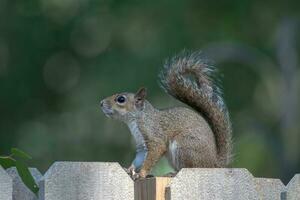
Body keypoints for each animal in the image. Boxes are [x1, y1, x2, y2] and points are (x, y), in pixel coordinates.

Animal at [100, 50, 232, 179]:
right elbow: (139, 158)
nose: (101, 103)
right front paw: (129, 169)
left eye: (121, 99)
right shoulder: (142, 144)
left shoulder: (154, 135)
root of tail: (213, 163)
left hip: (185, 146)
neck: (137, 119)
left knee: (189, 168)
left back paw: (173, 174)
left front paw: (141, 173)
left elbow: (156, 150)